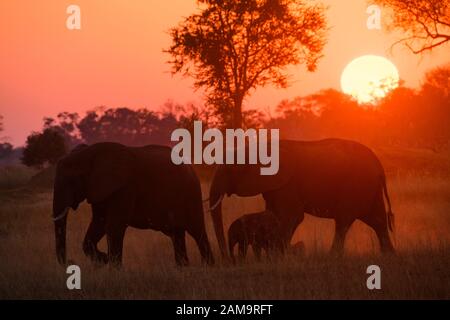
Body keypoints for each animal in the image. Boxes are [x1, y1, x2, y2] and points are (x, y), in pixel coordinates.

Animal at [52, 142, 214, 268]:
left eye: (72, 180)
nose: (71, 262)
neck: (90, 153)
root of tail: (192, 168)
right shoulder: (100, 189)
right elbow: (99, 222)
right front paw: (104, 259)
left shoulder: (125, 188)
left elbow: (114, 226)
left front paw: (114, 270)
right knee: (177, 234)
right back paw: (183, 269)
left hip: (190, 193)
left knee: (197, 230)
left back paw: (207, 267)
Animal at [209, 139, 396, 258]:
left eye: (231, 170)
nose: (226, 259)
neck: (257, 147)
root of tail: (379, 165)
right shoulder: (275, 185)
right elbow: (273, 215)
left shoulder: (288, 184)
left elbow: (291, 216)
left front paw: (280, 255)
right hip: (369, 188)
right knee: (378, 220)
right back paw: (389, 255)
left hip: (356, 185)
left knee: (344, 221)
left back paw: (332, 256)